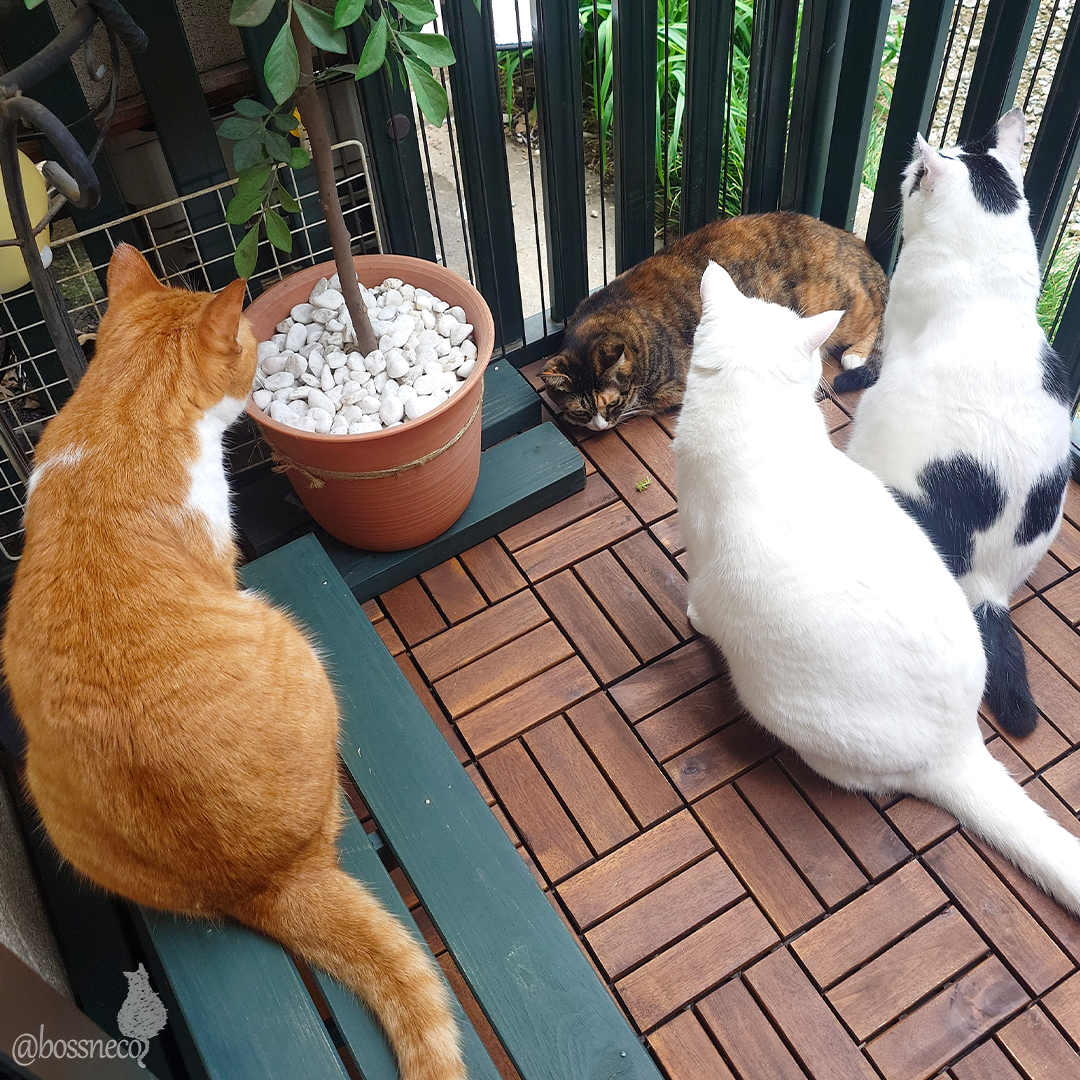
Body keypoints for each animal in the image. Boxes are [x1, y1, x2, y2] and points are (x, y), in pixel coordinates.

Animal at [0, 245, 464, 1080]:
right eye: (248, 345)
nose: (257, 367)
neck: (121, 408)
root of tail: (266, 883)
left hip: (47, 797)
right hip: (293, 640)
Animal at [541, 211, 888, 430]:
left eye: (611, 404)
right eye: (580, 410)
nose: (600, 426)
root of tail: (860, 246)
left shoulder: (676, 386)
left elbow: (645, 403)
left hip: (845, 306)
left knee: (878, 316)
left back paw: (855, 354)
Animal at [674, 261, 1080, 918]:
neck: (754, 403)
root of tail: (960, 743)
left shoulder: (704, 553)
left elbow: (701, 600)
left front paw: (693, 617)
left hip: (779, 704)